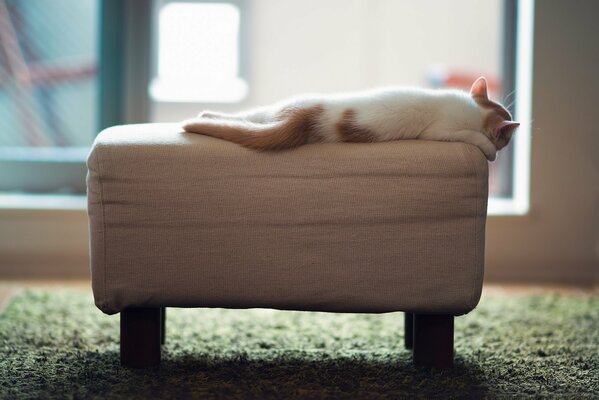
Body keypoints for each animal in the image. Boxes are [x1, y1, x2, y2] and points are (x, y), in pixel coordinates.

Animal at [180, 77, 516, 161]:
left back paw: (208, 114)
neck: (476, 110)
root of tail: (305, 115)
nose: (504, 147)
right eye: (508, 138)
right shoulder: (442, 131)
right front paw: (489, 151)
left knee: (251, 116)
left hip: (276, 110)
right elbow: (473, 137)